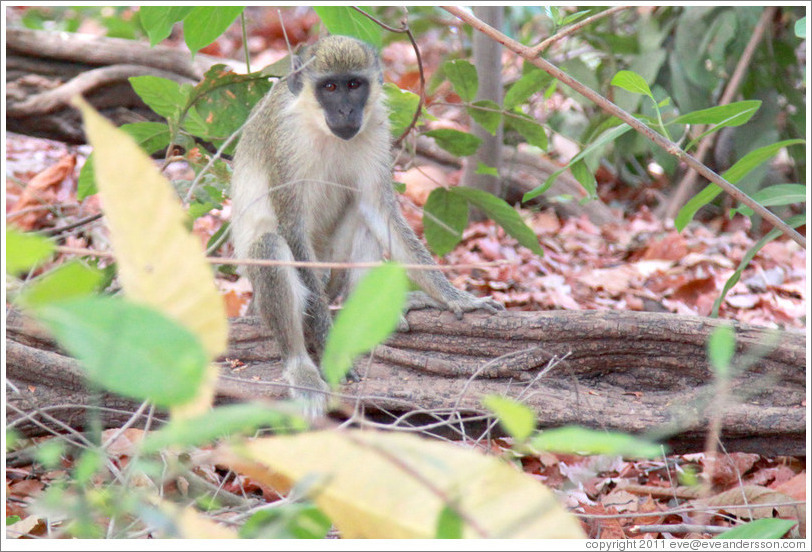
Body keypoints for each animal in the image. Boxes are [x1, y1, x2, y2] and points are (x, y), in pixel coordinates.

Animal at [230, 34, 502, 414]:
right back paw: (300, 366)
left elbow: (378, 209)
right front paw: (329, 348)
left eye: (354, 85)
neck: (317, 125)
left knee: (362, 218)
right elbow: (292, 228)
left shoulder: (377, 127)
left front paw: (455, 297)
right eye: (330, 87)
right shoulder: (283, 141)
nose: (346, 111)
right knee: (269, 246)